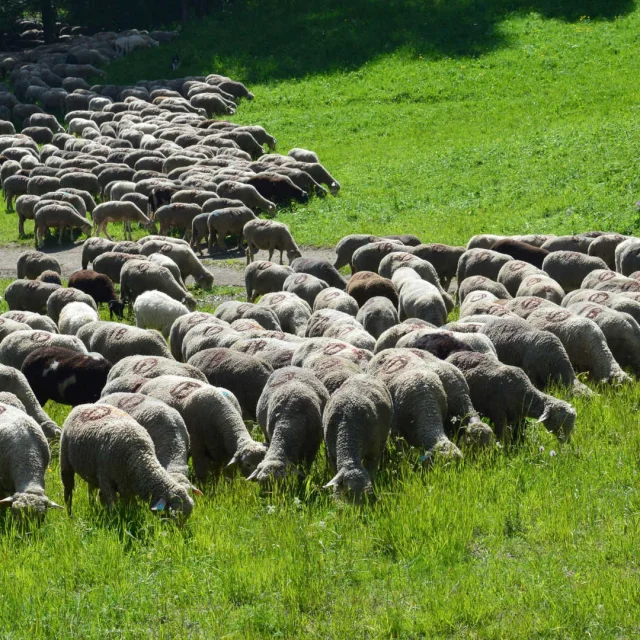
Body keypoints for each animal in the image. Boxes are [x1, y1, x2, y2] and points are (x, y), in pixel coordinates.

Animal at [61, 402, 195, 516]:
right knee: (68, 492)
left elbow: (132, 508)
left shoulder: (127, 487)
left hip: (91, 470)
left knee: (91, 491)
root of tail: (85, 405)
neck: (139, 456)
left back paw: (93, 507)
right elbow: (113, 507)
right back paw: (69, 515)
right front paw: (115, 521)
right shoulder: (105, 480)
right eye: (173, 516)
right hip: (65, 460)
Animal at [139, 376, 268, 480]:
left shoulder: (223, 452)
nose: (257, 478)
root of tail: (155, 379)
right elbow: (202, 476)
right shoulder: (197, 448)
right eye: (248, 464)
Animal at [322, 372, 392, 502]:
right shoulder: (332, 455)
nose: (356, 508)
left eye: (365, 494)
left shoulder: (372, 454)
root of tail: (364, 374)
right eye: (347, 493)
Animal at [448, 352, 576, 442]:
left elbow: (510, 436)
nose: (567, 442)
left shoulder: (513, 419)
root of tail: (454, 354)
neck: (524, 393)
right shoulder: (498, 413)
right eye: (558, 421)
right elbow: (503, 436)